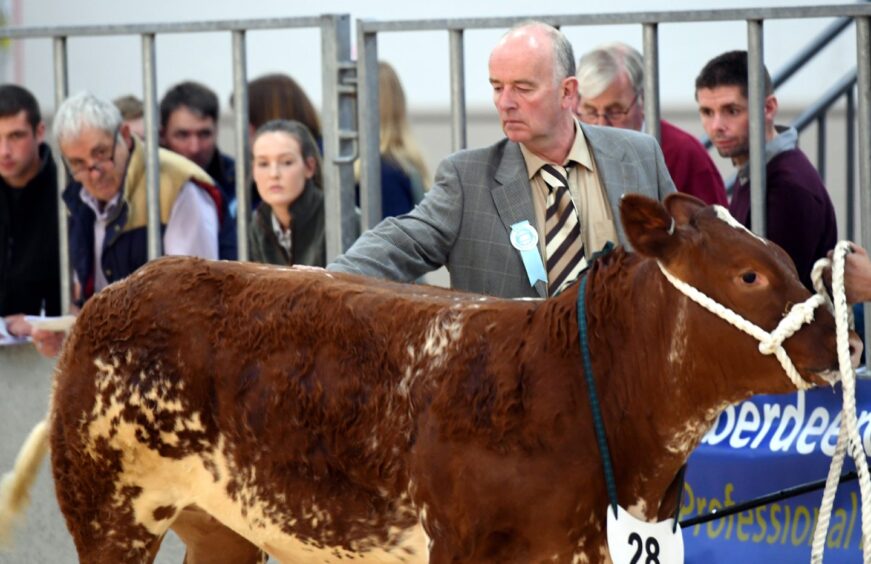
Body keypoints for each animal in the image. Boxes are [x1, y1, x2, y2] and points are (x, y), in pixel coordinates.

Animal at [0, 193, 860, 560]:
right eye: (748, 275)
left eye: (788, 257)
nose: (845, 337)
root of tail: (108, 298)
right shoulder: (461, 548)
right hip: (111, 514)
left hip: (222, 528)